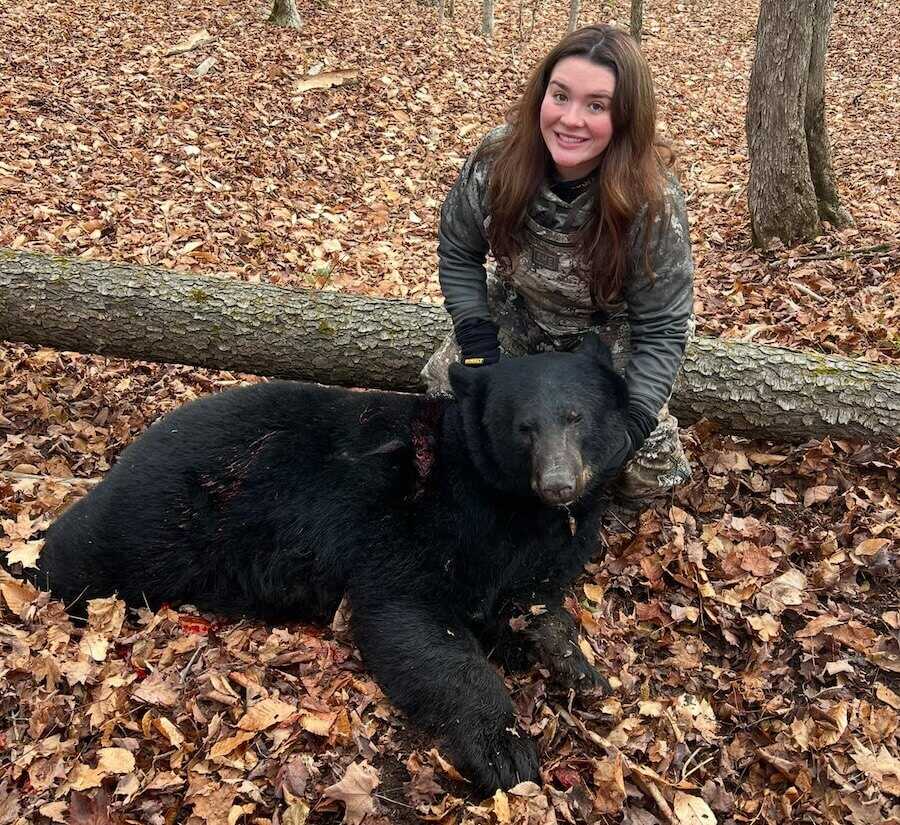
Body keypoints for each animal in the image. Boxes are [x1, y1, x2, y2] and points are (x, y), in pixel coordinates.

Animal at [33, 334, 631, 794]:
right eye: (523, 427)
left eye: (575, 416)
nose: (559, 484)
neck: (511, 505)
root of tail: (139, 443)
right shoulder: (416, 524)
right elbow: (413, 620)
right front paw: (505, 750)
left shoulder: (538, 546)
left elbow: (531, 600)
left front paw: (581, 669)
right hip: (167, 513)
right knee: (87, 549)